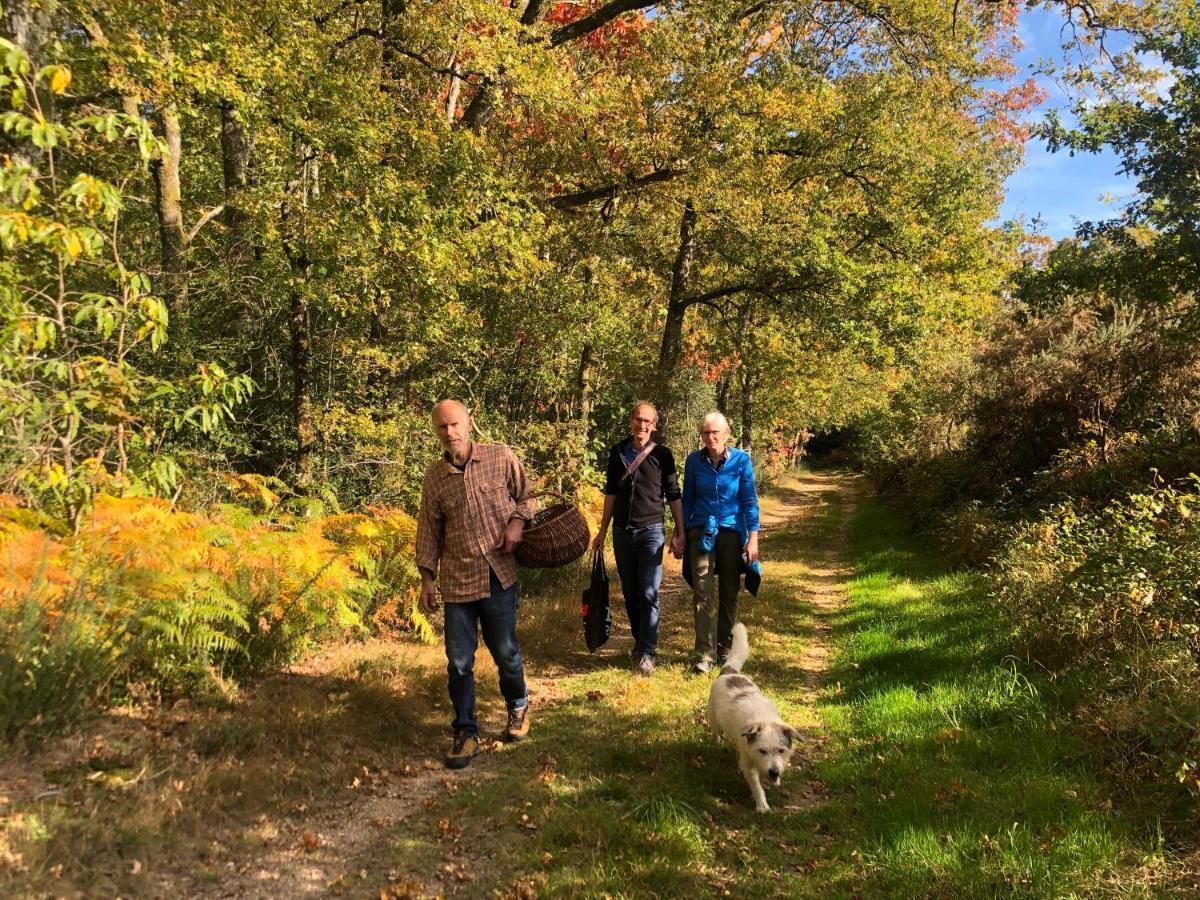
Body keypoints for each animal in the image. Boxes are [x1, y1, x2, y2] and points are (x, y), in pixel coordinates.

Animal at [705, 624, 801, 816]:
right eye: (762, 751)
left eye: (781, 751)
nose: (774, 772)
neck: (764, 720)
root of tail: (729, 672)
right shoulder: (750, 763)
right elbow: (756, 785)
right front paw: (762, 804)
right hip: (715, 720)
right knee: (716, 732)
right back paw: (717, 742)